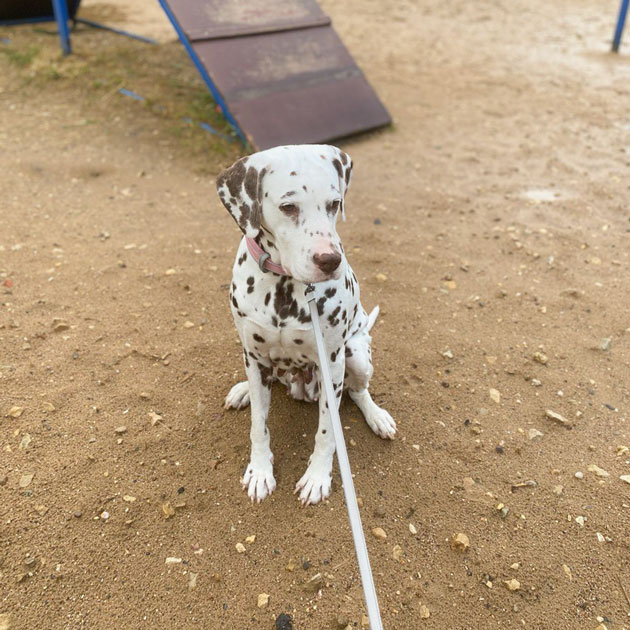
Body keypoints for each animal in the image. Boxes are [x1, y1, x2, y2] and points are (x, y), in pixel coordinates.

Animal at [216, 144, 396, 508]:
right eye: (288, 207)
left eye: (334, 204)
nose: (330, 260)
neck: (284, 287)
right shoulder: (255, 355)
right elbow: (259, 426)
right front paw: (260, 471)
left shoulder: (332, 363)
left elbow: (327, 432)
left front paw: (317, 477)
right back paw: (243, 390)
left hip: (356, 354)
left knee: (358, 391)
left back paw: (376, 416)